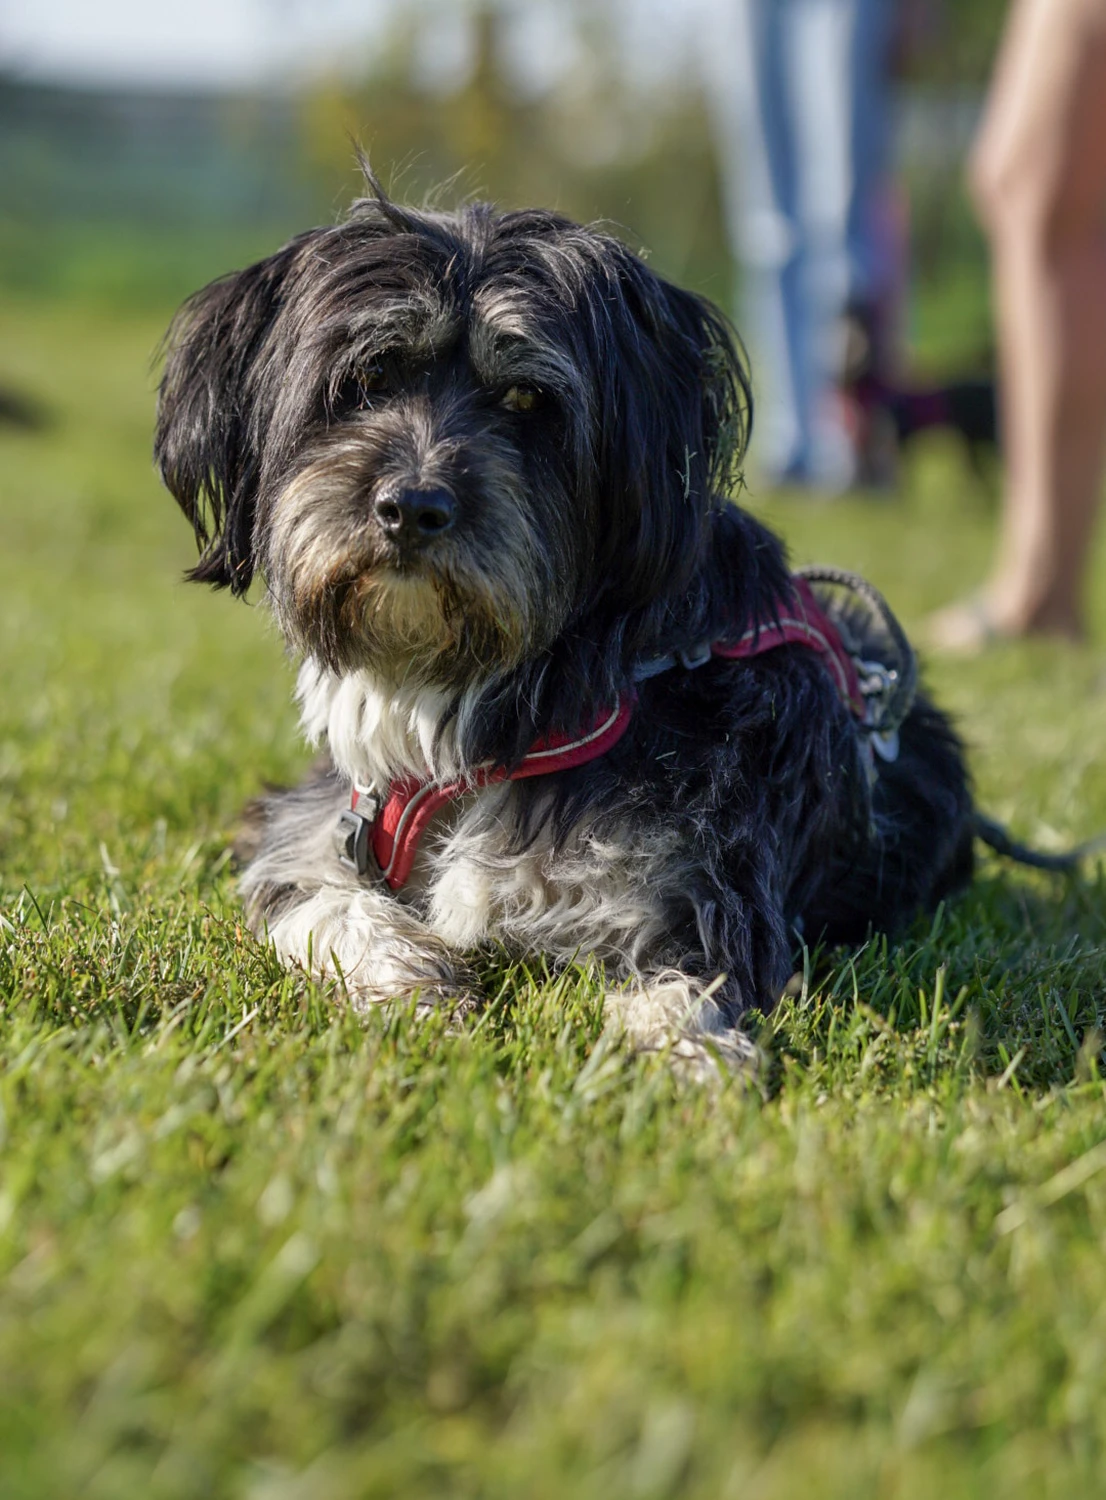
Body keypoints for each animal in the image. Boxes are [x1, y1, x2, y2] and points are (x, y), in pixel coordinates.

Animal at [153, 175, 966, 1068]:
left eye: (526, 399)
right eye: (366, 379)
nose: (411, 509)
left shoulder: (698, 884)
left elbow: (689, 987)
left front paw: (681, 1062)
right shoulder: (316, 830)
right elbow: (331, 906)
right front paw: (416, 989)